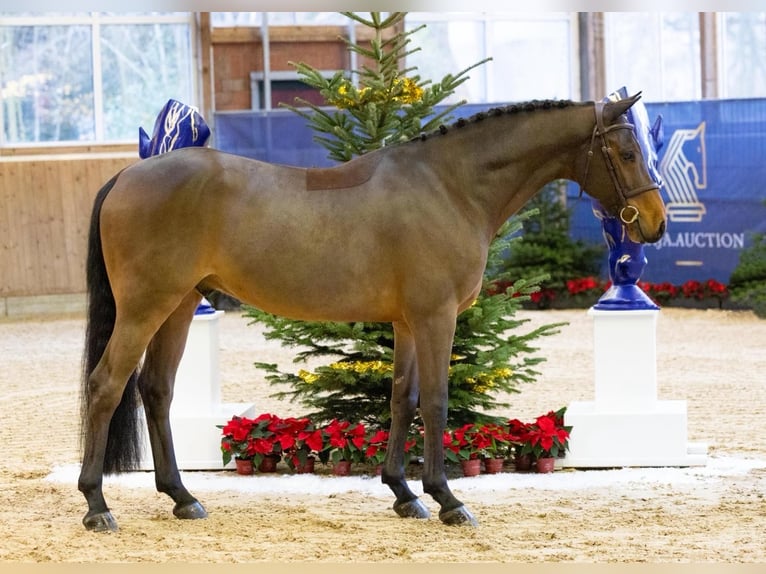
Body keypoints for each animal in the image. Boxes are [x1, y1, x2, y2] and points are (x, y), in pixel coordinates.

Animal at [78, 93, 666, 531]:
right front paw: (448, 499)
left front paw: (404, 493)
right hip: (146, 307)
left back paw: (181, 496)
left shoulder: (408, 322)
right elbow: (435, 402)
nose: (655, 222)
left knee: (156, 389)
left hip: (179, 305)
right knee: (106, 385)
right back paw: (97, 505)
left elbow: (402, 399)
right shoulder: (436, 317)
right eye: (627, 152)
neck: (449, 186)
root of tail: (127, 176)